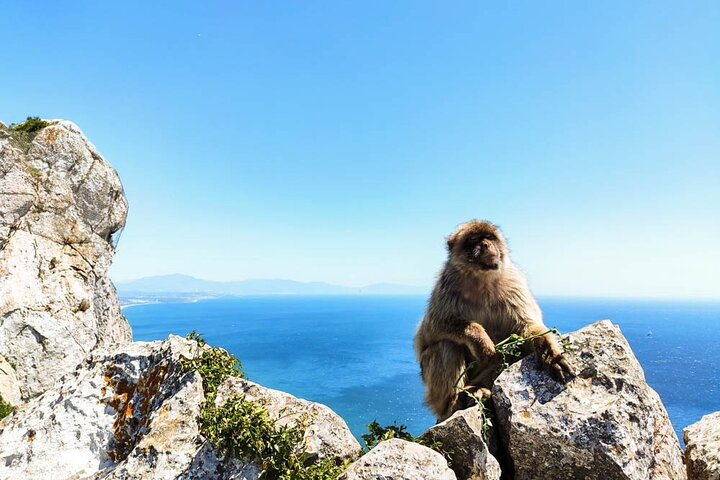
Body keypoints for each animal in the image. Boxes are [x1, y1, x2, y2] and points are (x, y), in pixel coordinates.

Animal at [416, 220, 572, 420]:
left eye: (489, 237)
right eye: (473, 239)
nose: (485, 244)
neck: (482, 279)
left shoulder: (514, 284)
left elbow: (527, 327)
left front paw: (551, 355)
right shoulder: (447, 285)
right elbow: (433, 328)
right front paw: (480, 341)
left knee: (512, 353)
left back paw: (478, 390)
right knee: (446, 346)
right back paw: (452, 403)